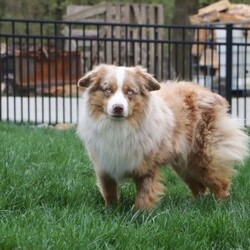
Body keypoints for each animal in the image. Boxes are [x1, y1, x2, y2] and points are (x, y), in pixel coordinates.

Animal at [77, 63, 249, 210]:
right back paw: (194, 206)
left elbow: (144, 195)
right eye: (107, 90)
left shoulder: (147, 166)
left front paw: (139, 215)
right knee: (199, 187)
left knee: (220, 183)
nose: (118, 108)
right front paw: (111, 211)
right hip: (184, 165)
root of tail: (210, 93)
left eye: (130, 92)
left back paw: (220, 206)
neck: (119, 127)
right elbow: (109, 193)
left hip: (204, 159)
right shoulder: (104, 165)